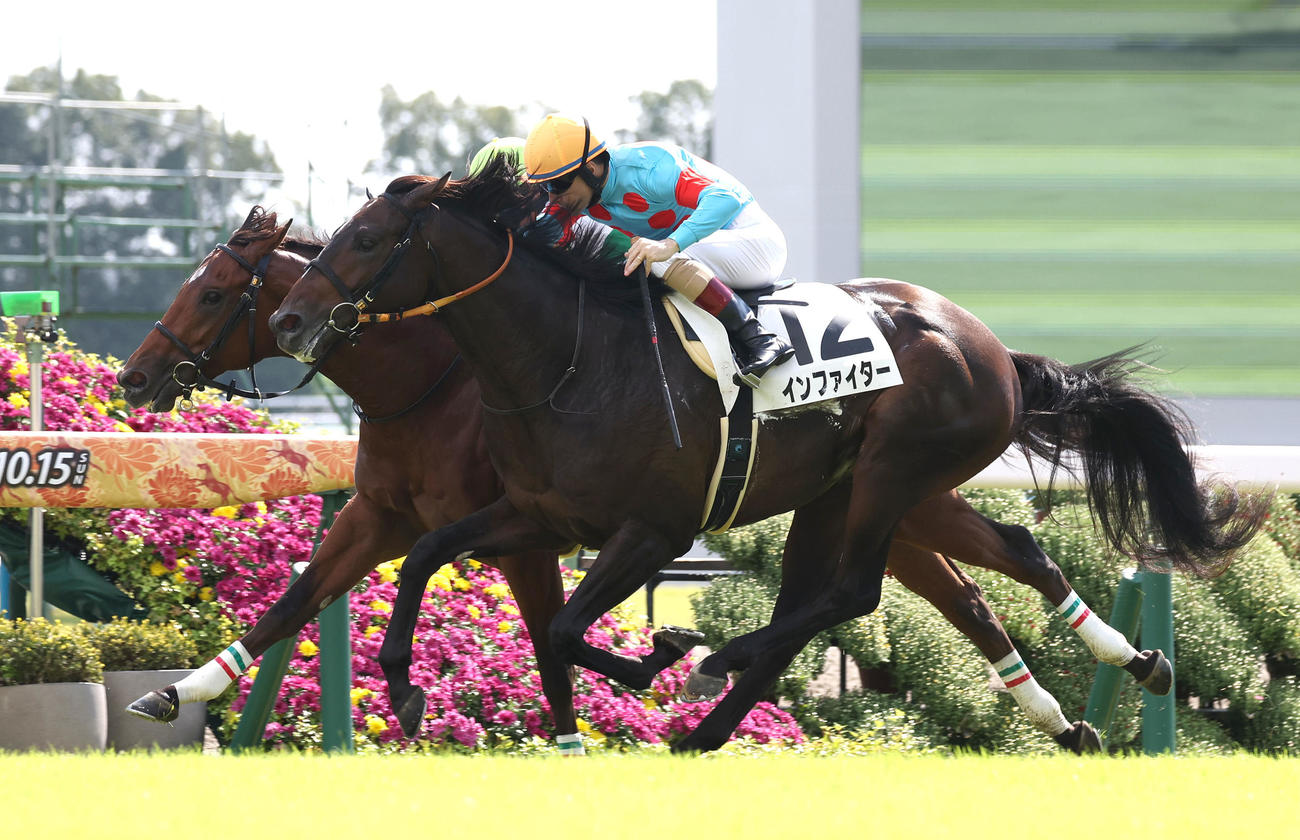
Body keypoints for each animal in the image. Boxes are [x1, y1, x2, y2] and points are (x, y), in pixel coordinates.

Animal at [267, 160, 1265, 752]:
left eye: (365, 238)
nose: (287, 318)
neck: (567, 360)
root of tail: (989, 346)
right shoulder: (539, 512)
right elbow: (430, 558)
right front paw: (401, 684)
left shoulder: (656, 530)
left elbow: (561, 627)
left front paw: (662, 652)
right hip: (851, 490)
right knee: (966, 567)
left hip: (893, 471)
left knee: (850, 593)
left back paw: (718, 666)